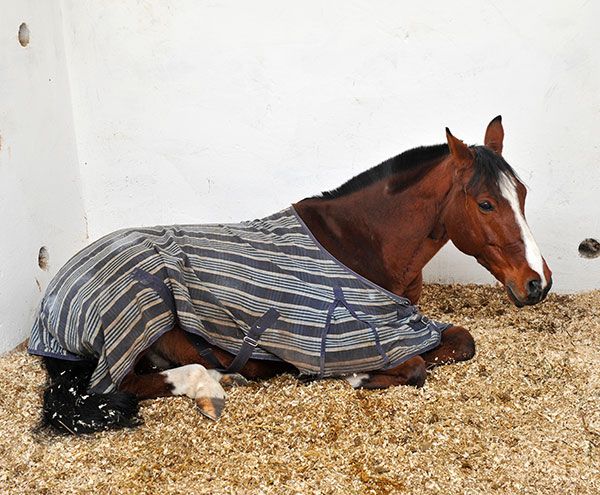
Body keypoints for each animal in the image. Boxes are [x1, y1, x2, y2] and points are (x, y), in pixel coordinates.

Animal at [30, 116, 552, 434]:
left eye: (524, 193)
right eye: (485, 204)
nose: (537, 282)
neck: (361, 243)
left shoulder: (409, 321)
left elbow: (463, 342)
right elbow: (414, 368)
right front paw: (359, 376)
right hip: (137, 321)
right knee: (115, 386)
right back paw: (212, 381)